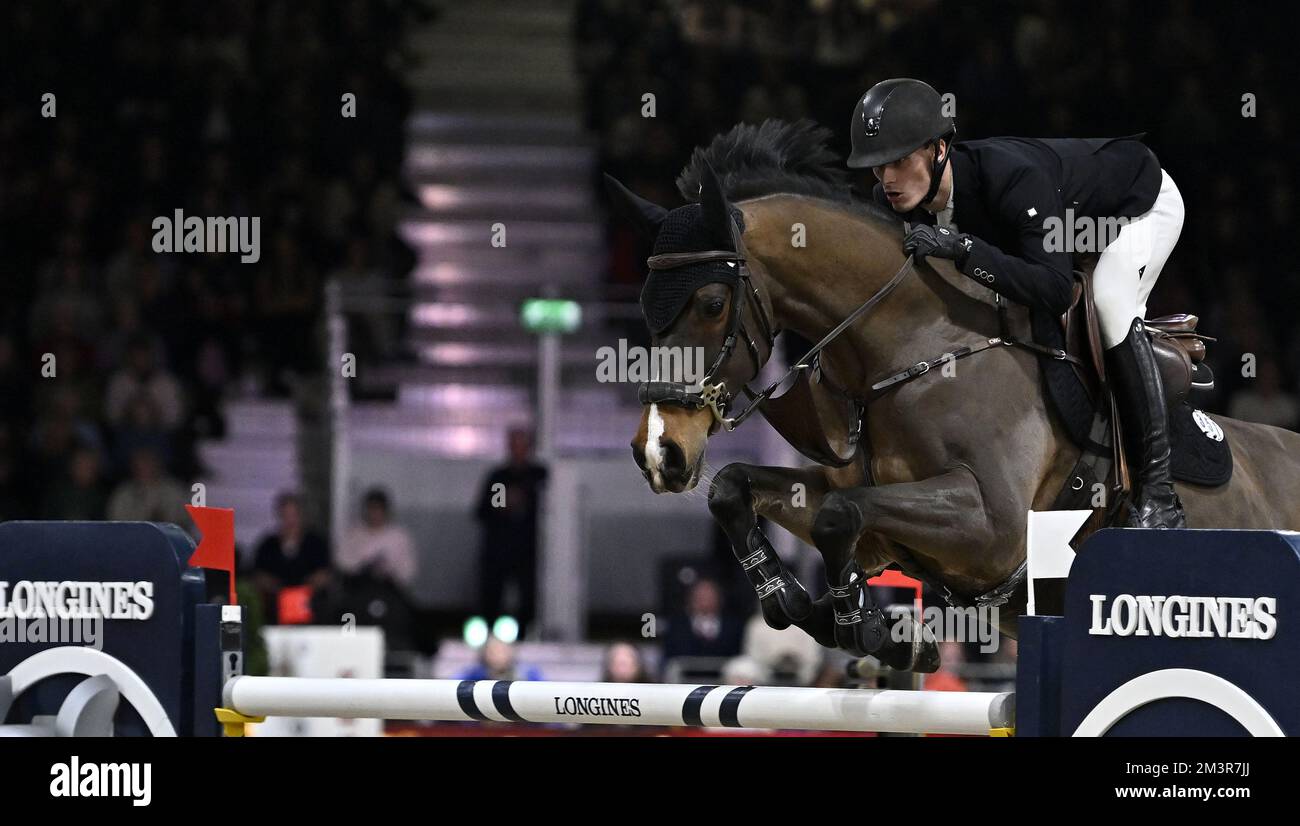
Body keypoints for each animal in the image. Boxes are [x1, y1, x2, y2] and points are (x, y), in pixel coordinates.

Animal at [603, 117, 1300, 671]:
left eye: (711, 304)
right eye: (643, 307)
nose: (659, 452)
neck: (920, 342)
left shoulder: (992, 526)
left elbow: (840, 515)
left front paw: (864, 626)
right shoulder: (864, 499)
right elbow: (740, 489)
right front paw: (810, 607)